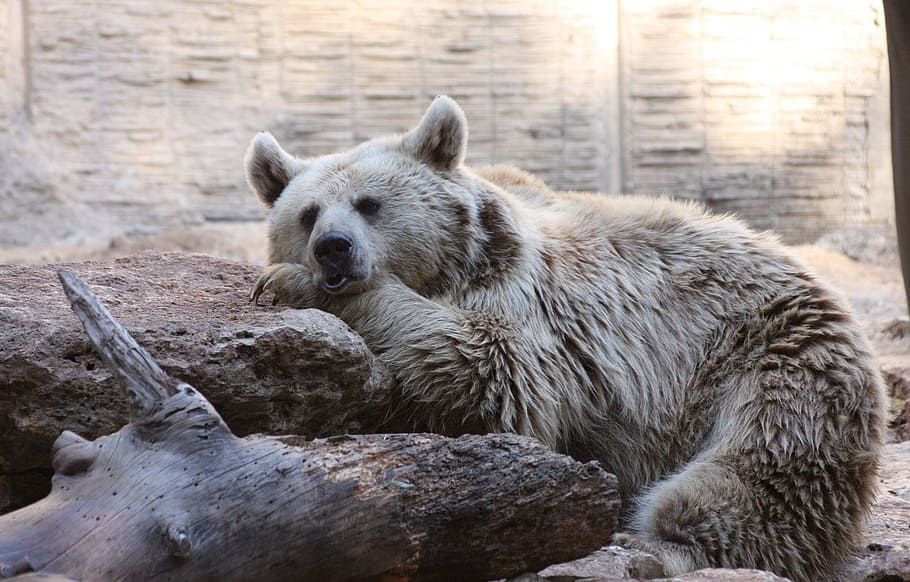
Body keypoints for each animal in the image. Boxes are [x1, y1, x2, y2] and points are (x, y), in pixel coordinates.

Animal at [244, 96, 886, 581]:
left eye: (369, 203)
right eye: (307, 212)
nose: (332, 249)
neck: (458, 265)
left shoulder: (536, 308)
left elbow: (491, 370)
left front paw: (291, 282)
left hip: (772, 357)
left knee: (760, 467)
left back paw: (652, 547)